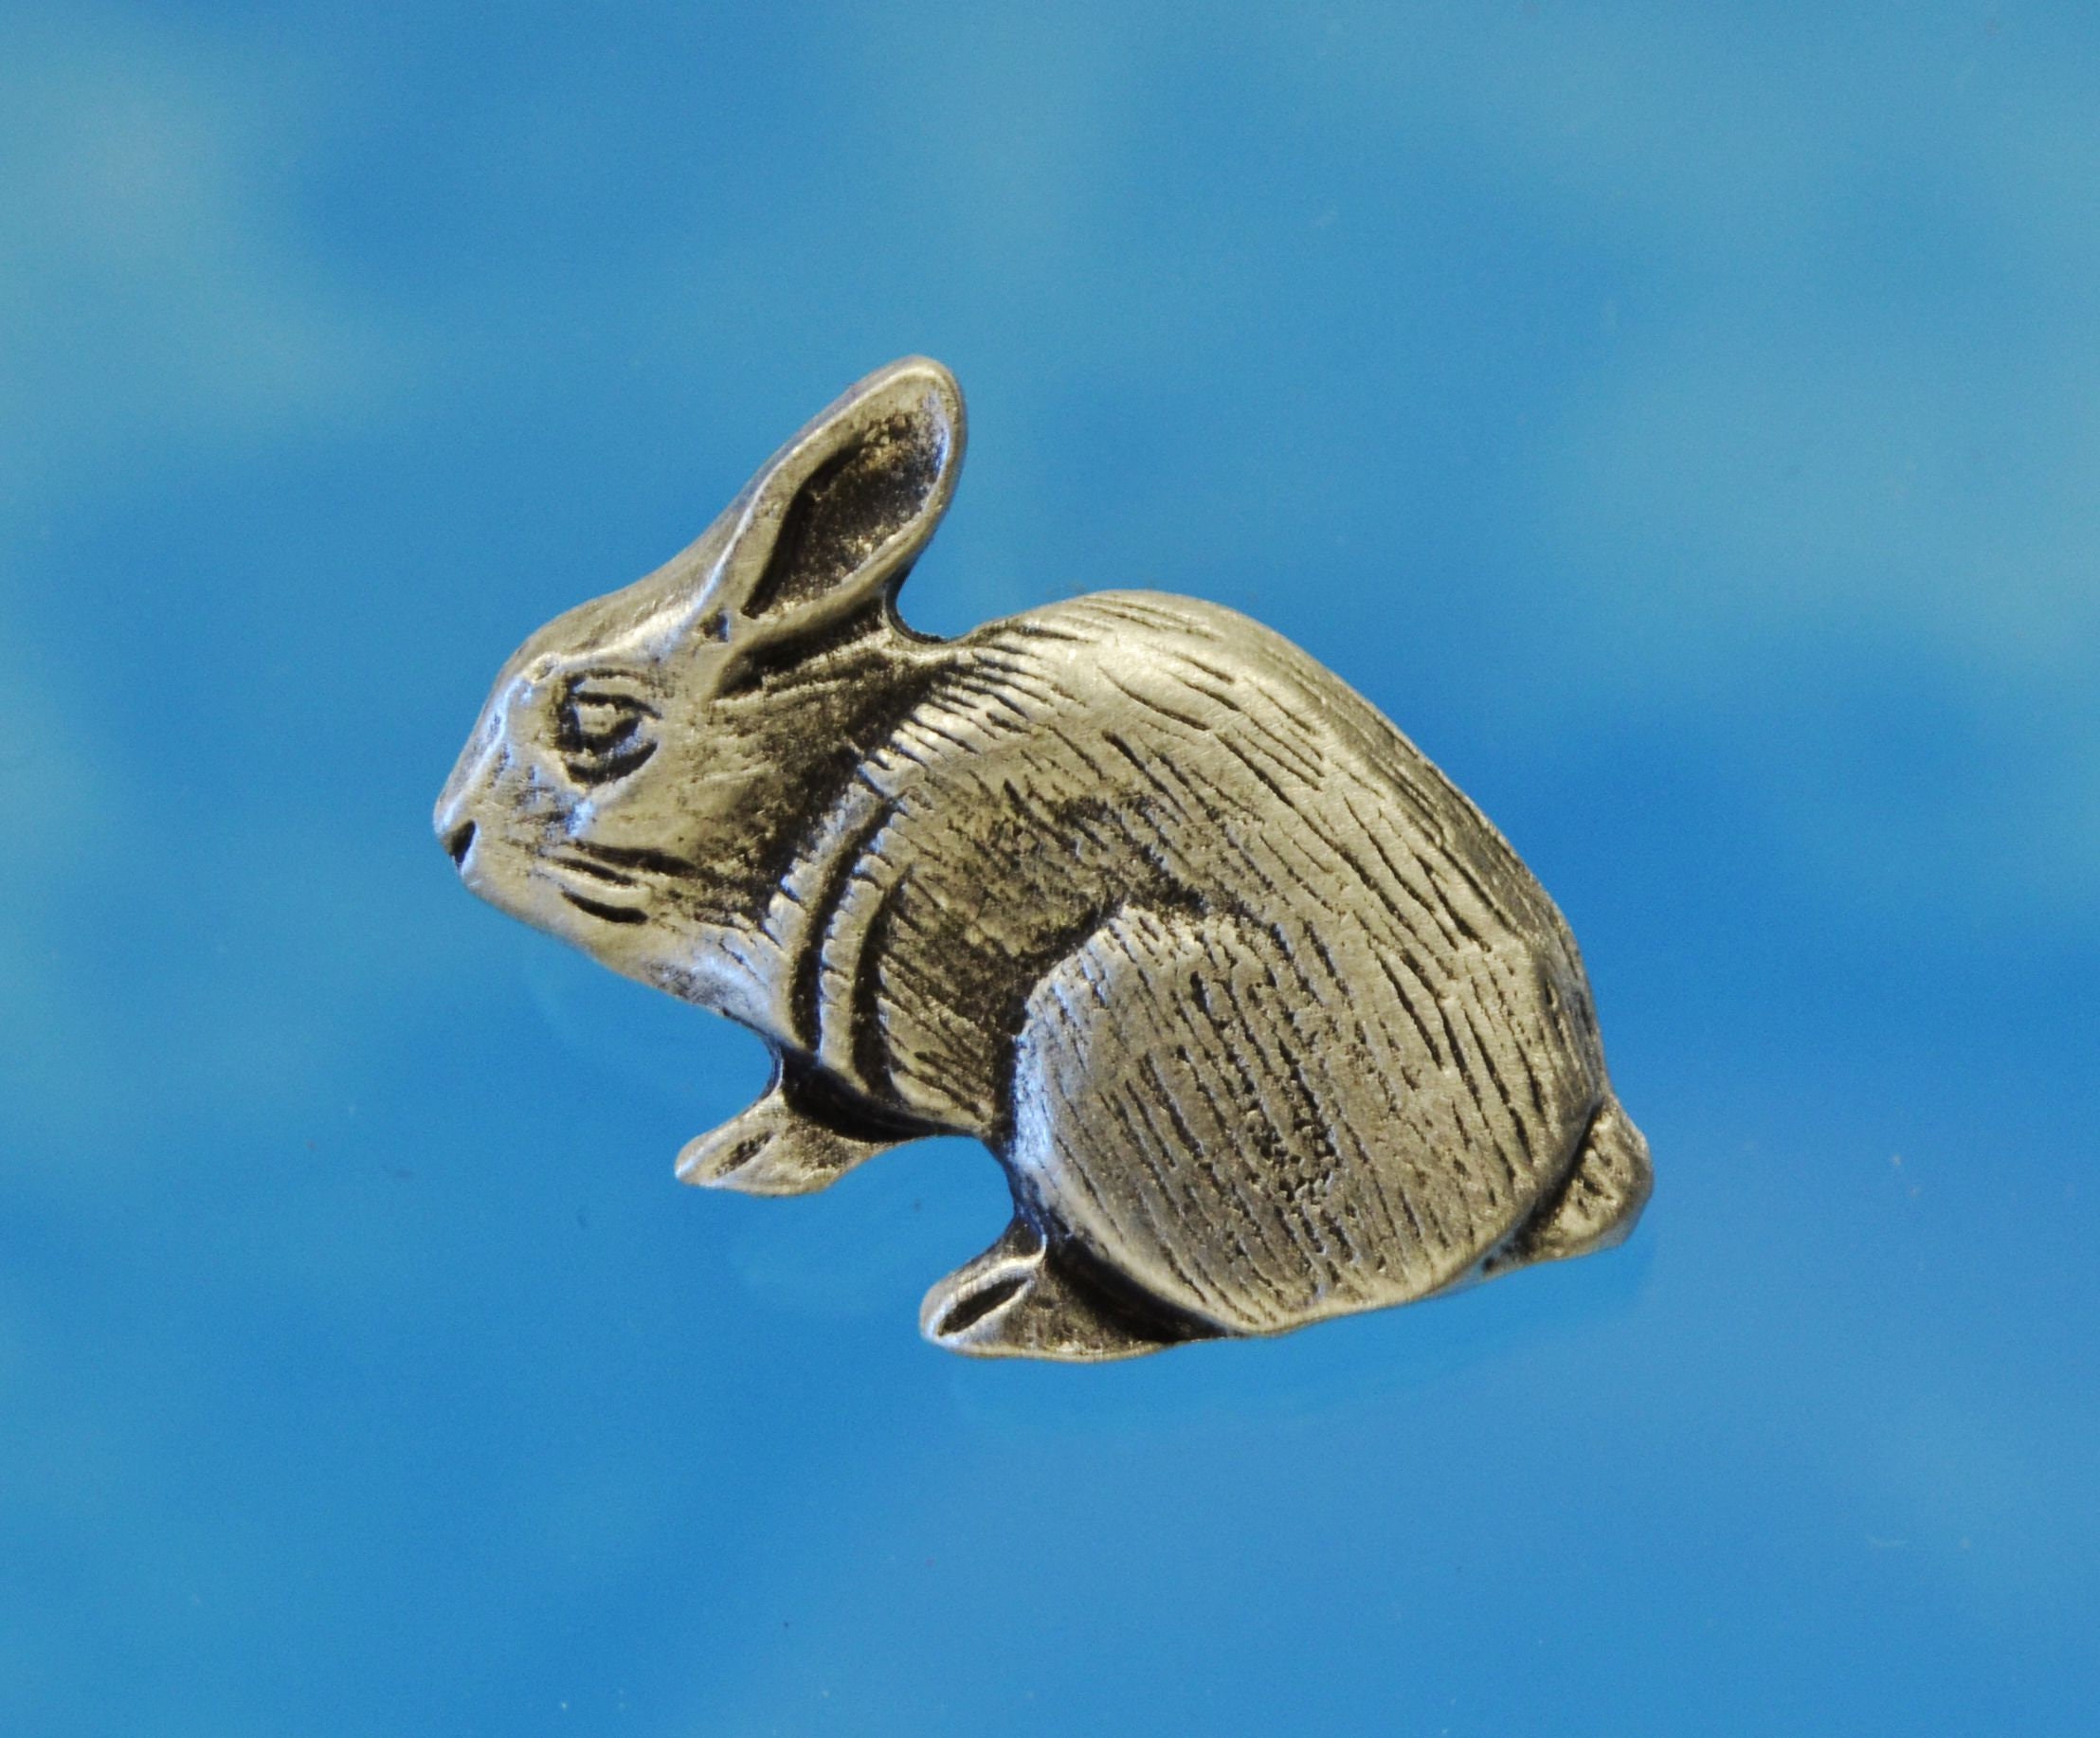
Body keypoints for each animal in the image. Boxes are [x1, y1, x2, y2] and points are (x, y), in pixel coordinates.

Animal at [434, 356, 1651, 1361]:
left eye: (599, 722)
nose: (448, 830)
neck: (823, 783)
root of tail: (1553, 1165)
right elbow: (807, 1110)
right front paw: (731, 1158)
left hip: (1109, 1033)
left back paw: (988, 1314)